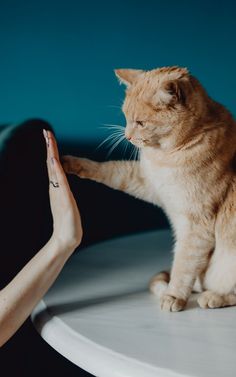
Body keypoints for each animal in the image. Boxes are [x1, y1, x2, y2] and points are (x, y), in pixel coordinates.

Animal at [63, 66, 236, 310]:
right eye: (125, 118)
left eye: (140, 122)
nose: (127, 136)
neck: (165, 156)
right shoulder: (149, 183)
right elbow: (109, 170)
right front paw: (70, 162)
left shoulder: (196, 225)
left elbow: (184, 265)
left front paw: (174, 295)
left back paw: (213, 296)